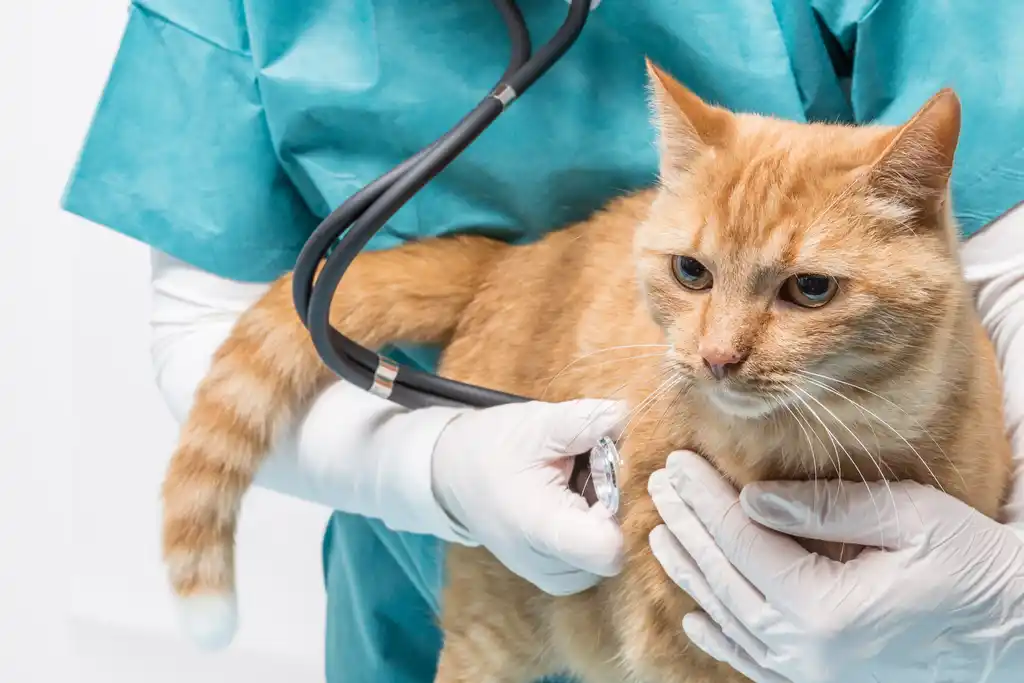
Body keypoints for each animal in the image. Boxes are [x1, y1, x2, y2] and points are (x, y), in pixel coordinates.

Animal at [159, 60, 1007, 683]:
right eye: (692, 271)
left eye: (811, 289)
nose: (717, 356)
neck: (824, 460)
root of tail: (510, 259)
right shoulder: (678, 651)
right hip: (496, 627)